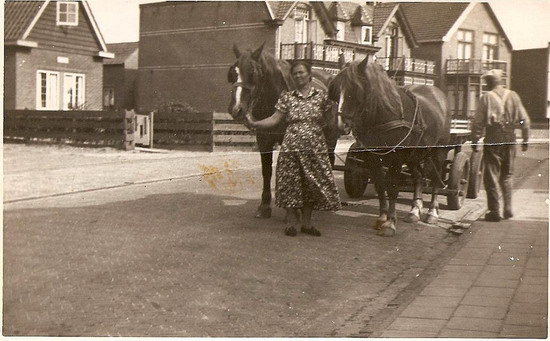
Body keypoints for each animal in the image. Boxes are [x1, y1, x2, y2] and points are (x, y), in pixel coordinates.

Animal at [332, 57, 452, 235]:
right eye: (335, 89)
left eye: (355, 89)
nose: (342, 125)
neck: (385, 115)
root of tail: (438, 94)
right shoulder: (373, 158)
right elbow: (381, 185)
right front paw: (382, 217)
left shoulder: (396, 158)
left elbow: (393, 187)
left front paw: (390, 223)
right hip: (414, 155)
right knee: (419, 178)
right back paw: (414, 211)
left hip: (438, 151)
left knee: (436, 181)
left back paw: (432, 213)